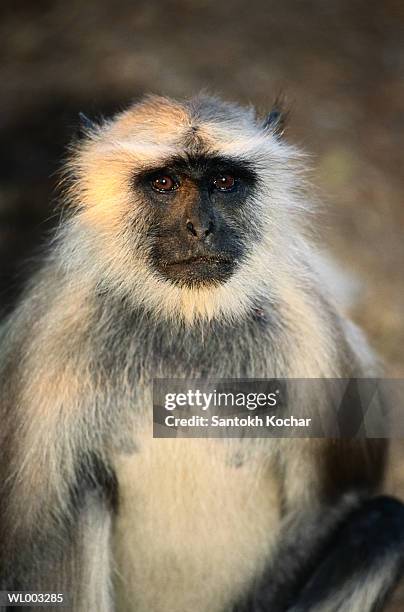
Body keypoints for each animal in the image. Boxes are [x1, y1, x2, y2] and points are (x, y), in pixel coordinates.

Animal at [0, 93, 404, 608]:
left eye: (224, 182)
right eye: (165, 183)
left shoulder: (312, 333)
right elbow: (29, 545)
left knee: (384, 524)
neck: (188, 320)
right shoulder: (50, 334)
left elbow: (333, 501)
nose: (200, 227)